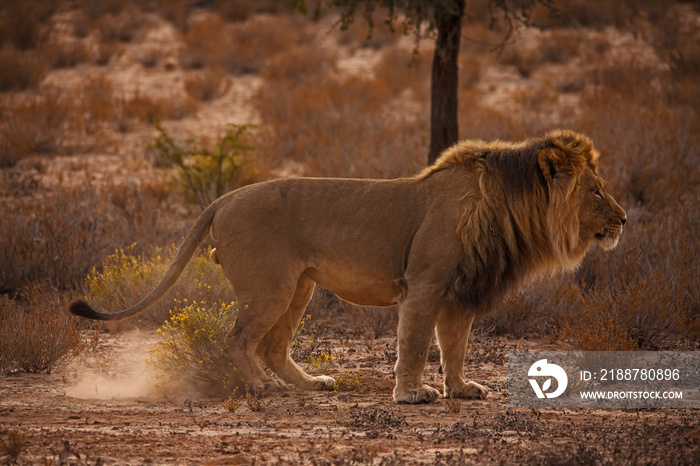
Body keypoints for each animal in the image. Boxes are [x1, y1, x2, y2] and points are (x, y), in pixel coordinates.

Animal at [71, 129, 628, 402]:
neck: (508, 207)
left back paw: (310, 386)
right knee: (240, 340)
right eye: (596, 191)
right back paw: (264, 389)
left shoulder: (459, 292)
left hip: (300, 287)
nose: (624, 219)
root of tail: (225, 197)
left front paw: (461, 390)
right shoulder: (425, 284)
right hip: (270, 288)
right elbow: (415, 343)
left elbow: (455, 347)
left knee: (273, 346)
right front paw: (411, 394)